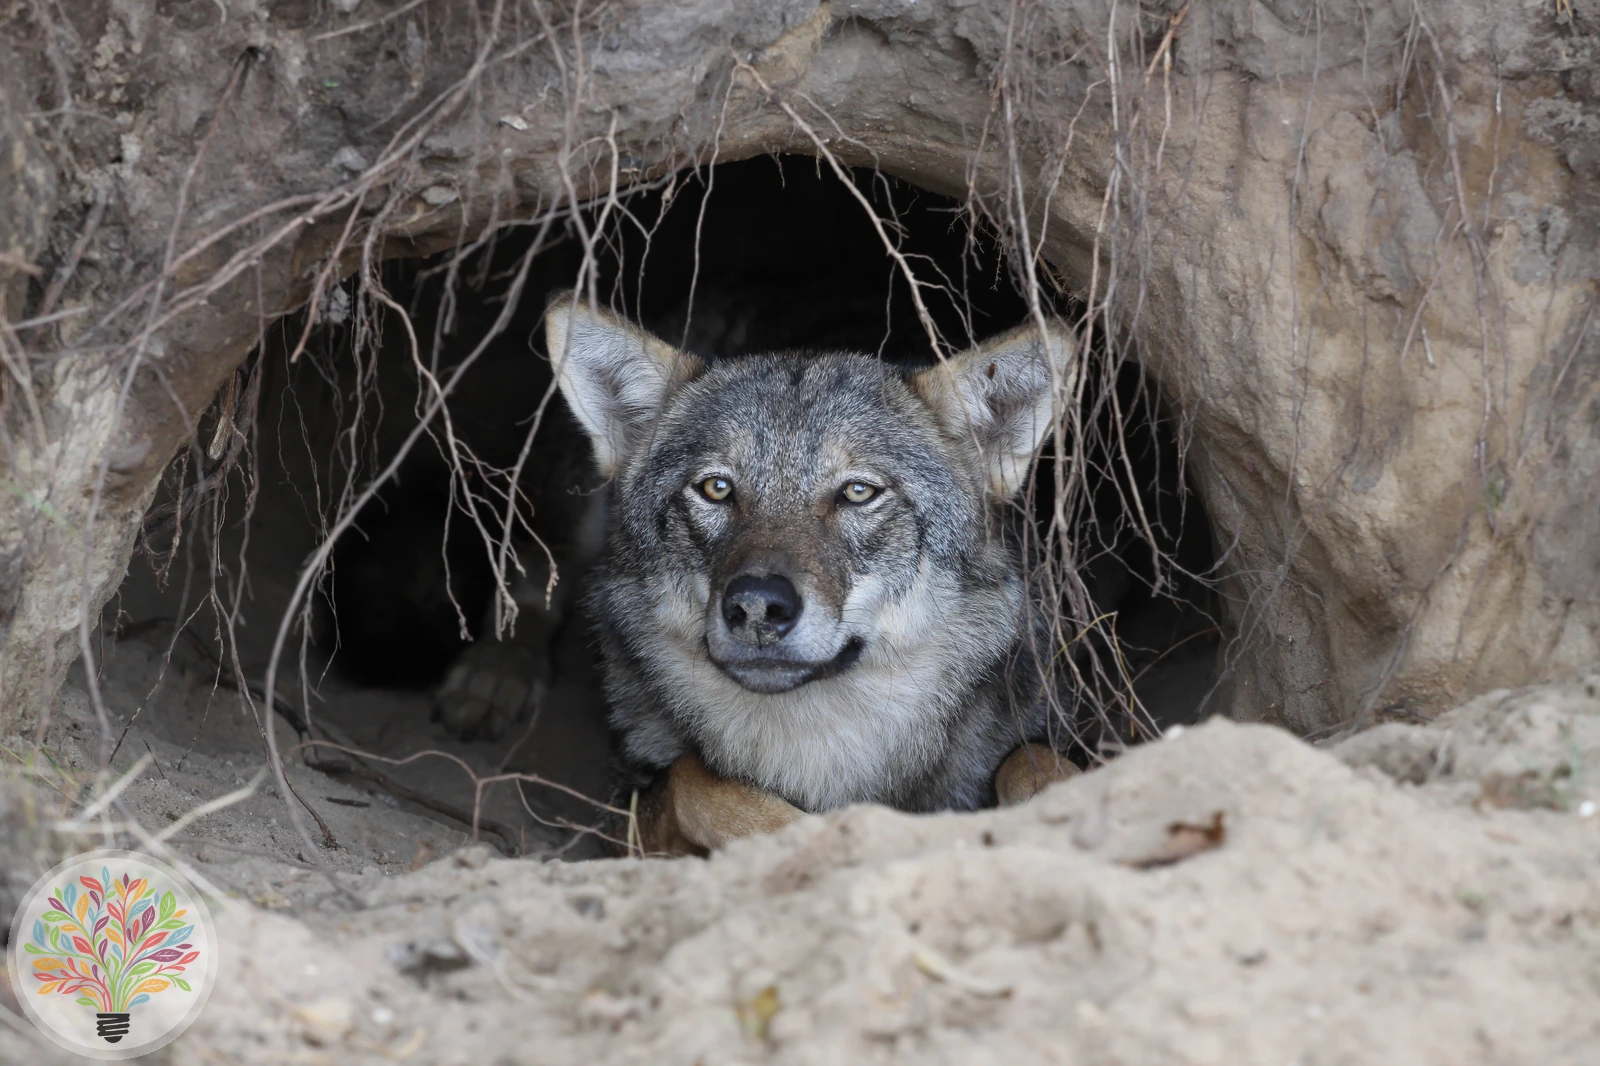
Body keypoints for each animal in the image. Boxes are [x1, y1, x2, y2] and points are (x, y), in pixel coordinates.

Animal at [546, 293, 1078, 851]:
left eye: (858, 492)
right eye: (716, 488)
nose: (757, 604)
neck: (819, 751)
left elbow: (1038, 761)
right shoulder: (617, 812)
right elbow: (695, 779)